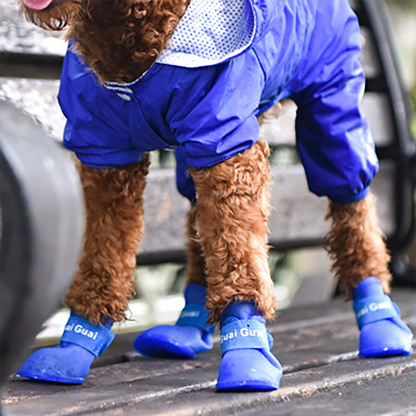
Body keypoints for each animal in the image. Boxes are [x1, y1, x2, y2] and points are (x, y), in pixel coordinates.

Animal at [17, 0, 412, 390]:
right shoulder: (104, 150)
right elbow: (103, 251)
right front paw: (75, 344)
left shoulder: (224, 142)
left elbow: (238, 250)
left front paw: (246, 352)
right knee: (200, 226)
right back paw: (188, 330)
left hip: (330, 98)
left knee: (352, 200)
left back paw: (379, 318)